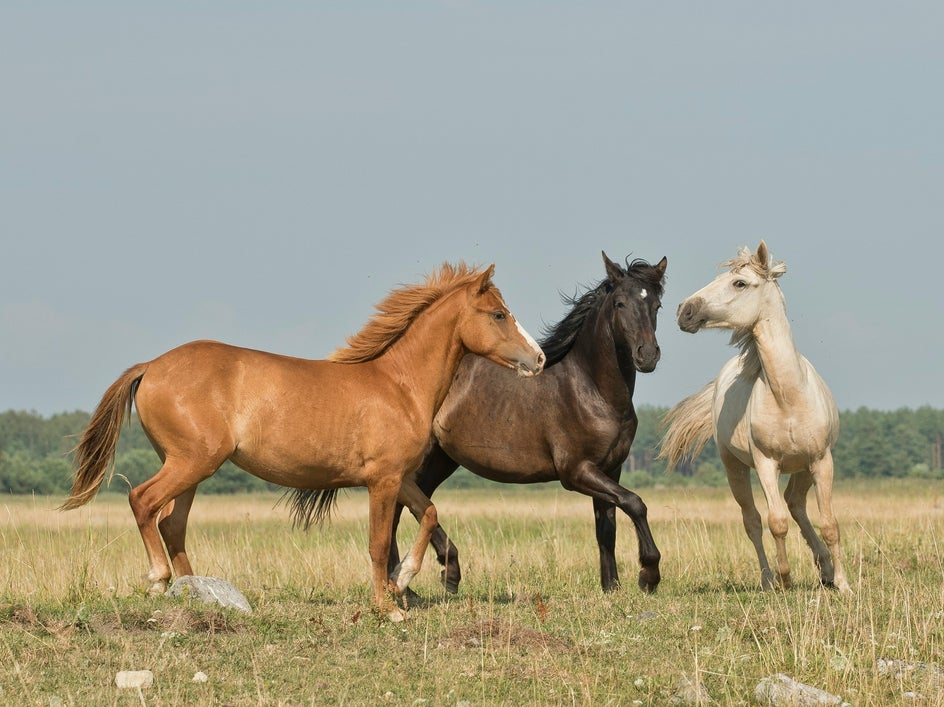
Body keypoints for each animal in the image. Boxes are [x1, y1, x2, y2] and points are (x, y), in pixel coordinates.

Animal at [60, 263, 546, 620]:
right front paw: (387, 607)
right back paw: (159, 581)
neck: (399, 385)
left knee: (171, 523)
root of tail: (151, 366)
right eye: (499, 314)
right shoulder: (382, 481)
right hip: (190, 462)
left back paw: (196, 592)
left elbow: (428, 513)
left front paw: (403, 580)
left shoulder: (401, 477)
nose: (538, 358)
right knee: (143, 501)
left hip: (191, 468)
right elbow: (377, 543)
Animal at [288, 252, 666, 594]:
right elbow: (636, 504)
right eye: (620, 303)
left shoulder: (610, 468)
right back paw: (427, 580)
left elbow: (607, 527)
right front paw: (648, 575)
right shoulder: (576, 472)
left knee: (408, 508)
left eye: (657, 305)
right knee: (399, 511)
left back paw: (419, 581)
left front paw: (612, 588)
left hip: (439, 460)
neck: (589, 389)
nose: (647, 356)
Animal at [659, 242, 852, 594]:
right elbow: (776, 522)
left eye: (739, 283)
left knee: (796, 504)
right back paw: (768, 579)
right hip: (734, 467)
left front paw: (844, 585)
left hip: (803, 468)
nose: (684, 310)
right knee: (754, 521)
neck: (788, 396)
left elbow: (830, 524)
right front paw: (785, 578)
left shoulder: (822, 461)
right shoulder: (765, 464)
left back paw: (826, 570)